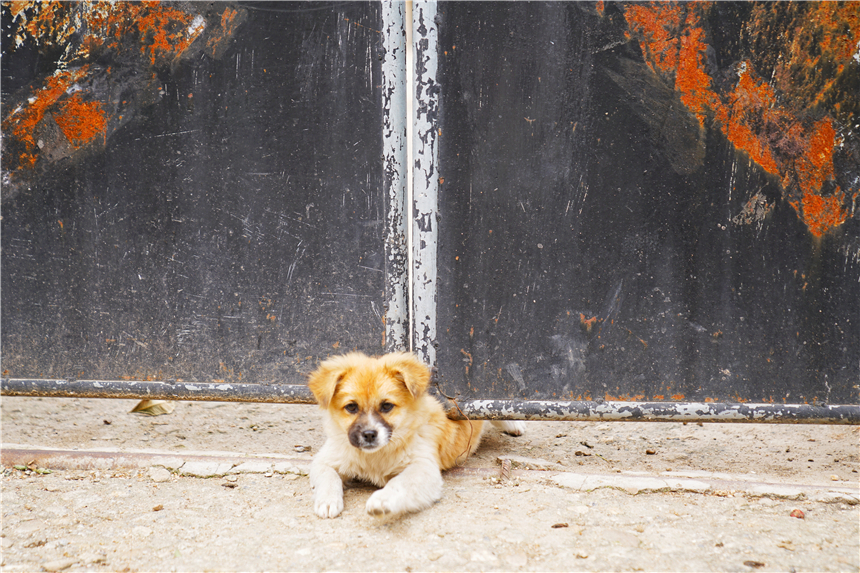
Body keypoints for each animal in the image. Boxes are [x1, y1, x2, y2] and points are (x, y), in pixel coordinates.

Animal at [310, 350, 524, 516]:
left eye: (386, 406)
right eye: (351, 407)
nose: (369, 435)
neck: (376, 457)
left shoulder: (423, 467)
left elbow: (399, 483)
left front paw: (382, 500)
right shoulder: (326, 459)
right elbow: (328, 477)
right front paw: (327, 502)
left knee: (491, 409)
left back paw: (515, 425)